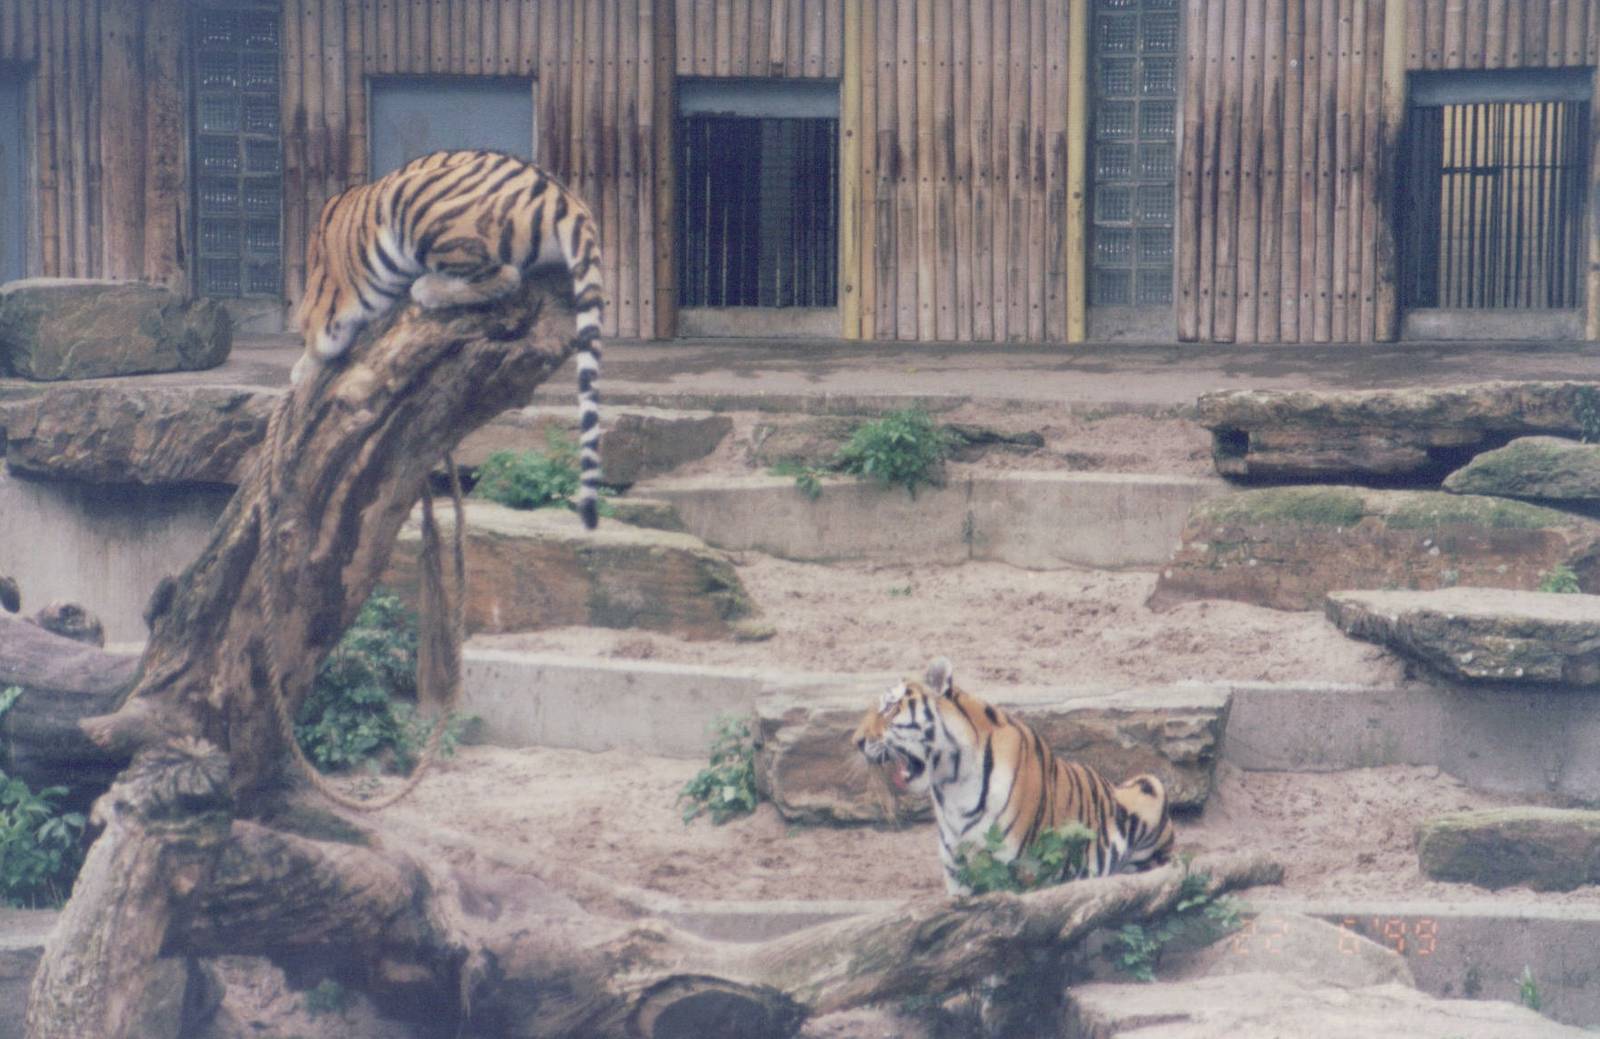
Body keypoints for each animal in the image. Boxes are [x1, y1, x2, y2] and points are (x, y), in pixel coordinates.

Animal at [291, 148, 604, 528]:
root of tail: (567, 198)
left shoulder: (324, 314)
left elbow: (315, 348)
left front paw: (300, 370)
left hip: (413, 200)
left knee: (505, 275)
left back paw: (426, 288)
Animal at [853, 658, 1175, 895]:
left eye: (890, 707)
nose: (856, 741)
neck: (951, 784)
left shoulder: (1022, 870)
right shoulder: (958, 874)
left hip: (1150, 786)